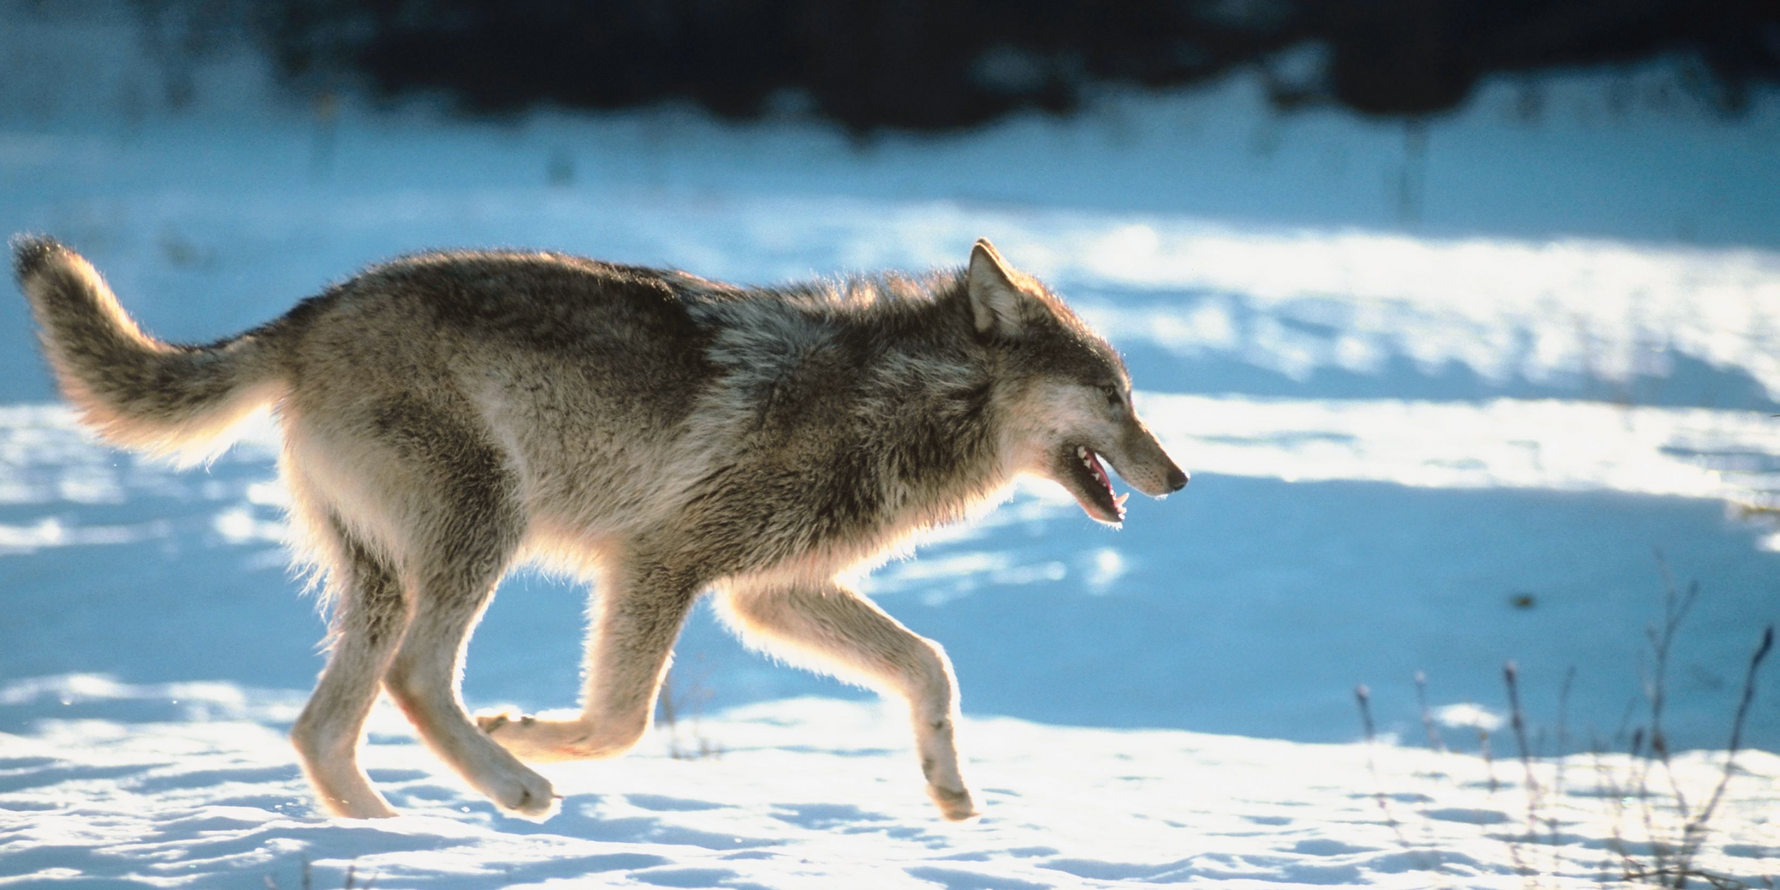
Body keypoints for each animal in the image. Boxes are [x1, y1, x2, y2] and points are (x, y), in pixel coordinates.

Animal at [12, 234, 1187, 822]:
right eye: (1114, 398)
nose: (1177, 477)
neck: (900, 397)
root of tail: (304, 316)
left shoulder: (768, 594)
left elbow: (930, 666)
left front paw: (950, 790)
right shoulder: (663, 562)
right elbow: (620, 720)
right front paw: (534, 733)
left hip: (384, 578)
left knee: (320, 727)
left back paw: (395, 832)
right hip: (480, 532)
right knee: (415, 679)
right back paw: (513, 784)